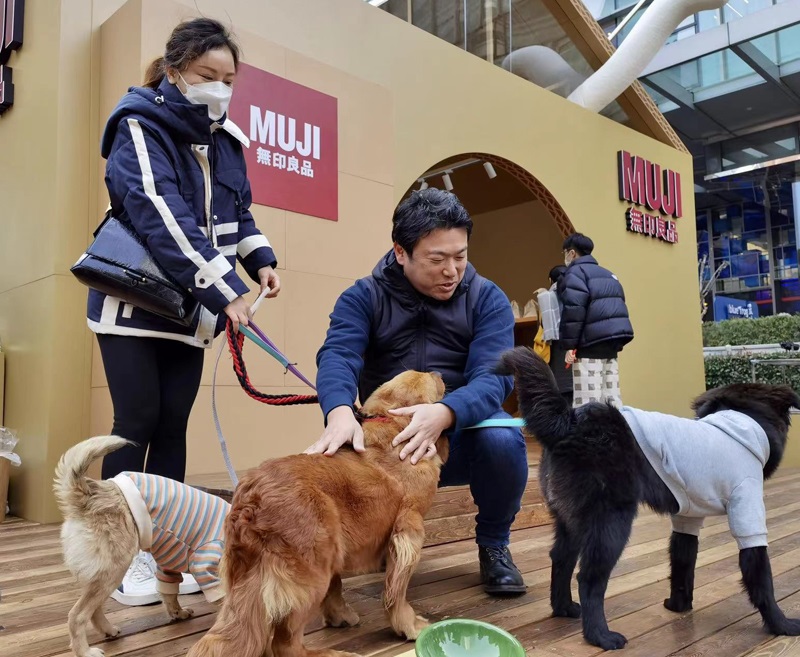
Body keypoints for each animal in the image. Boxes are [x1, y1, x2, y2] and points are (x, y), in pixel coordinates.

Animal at [500, 346, 800, 648]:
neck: (742, 424)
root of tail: (569, 421)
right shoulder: (746, 510)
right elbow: (761, 580)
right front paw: (781, 624)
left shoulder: (687, 519)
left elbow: (682, 565)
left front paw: (678, 606)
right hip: (611, 523)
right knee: (588, 579)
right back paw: (600, 635)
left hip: (570, 521)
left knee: (561, 558)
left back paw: (564, 609)